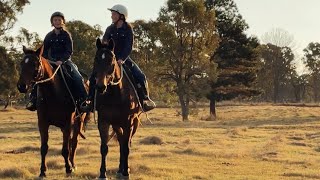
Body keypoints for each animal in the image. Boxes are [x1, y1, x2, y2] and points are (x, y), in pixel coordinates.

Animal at [16, 45, 87, 178]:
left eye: (34, 64)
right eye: (22, 63)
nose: (21, 86)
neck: (53, 93)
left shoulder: (67, 123)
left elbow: (65, 149)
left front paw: (68, 169)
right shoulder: (43, 123)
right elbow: (44, 148)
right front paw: (42, 171)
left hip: (78, 121)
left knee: (73, 142)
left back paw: (73, 164)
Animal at [94, 38, 141, 179]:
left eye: (111, 61)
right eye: (96, 60)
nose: (100, 87)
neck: (115, 94)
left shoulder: (129, 123)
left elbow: (126, 148)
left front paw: (126, 172)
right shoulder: (103, 121)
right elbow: (104, 147)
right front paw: (102, 173)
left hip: (134, 123)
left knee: (126, 143)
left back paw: (124, 169)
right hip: (116, 124)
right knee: (121, 141)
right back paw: (120, 169)